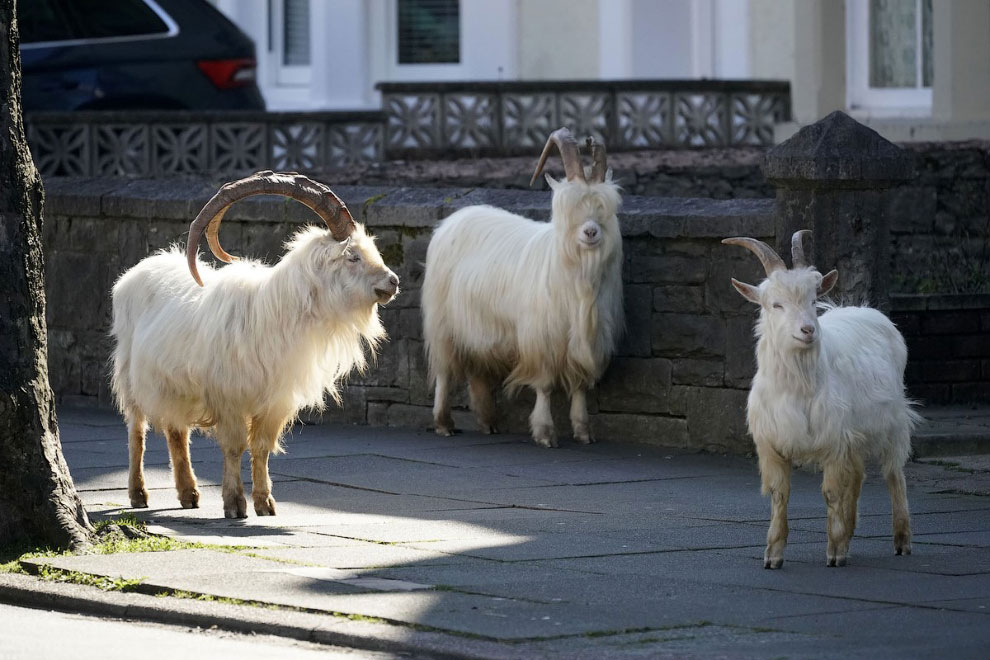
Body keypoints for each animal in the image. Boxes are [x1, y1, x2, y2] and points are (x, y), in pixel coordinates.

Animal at [111, 171, 400, 520]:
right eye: (353, 256)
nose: (393, 282)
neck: (277, 313)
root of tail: (136, 272)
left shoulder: (276, 400)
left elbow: (261, 447)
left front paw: (264, 503)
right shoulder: (229, 397)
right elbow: (235, 445)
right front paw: (235, 504)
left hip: (175, 386)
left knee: (176, 432)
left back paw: (189, 493)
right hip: (131, 376)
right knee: (136, 431)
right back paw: (138, 493)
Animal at [422, 127, 624, 448]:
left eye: (605, 207)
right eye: (568, 206)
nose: (591, 232)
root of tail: (452, 220)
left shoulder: (585, 340)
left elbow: (579, 385)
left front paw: (583, 431)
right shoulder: (540, 338)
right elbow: (545, 385)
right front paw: (545, 433)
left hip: (479, 329)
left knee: (478, 372)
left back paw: (487, 422)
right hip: (443, 323)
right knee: (444, 370)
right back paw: (444, 423)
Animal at [720, 231, 924, 568]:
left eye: (813, 300)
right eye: (775, 304)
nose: (808, 330)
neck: (797, 387)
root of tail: (866, 310)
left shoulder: (834, 440)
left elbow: (831, 494)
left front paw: (834, 551)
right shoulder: (772, 443)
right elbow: (780, 494)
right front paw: (773, 554)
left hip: (893, 422)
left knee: (894, 474)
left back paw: (901, 540)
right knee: (858, 475)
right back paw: (851, 534)